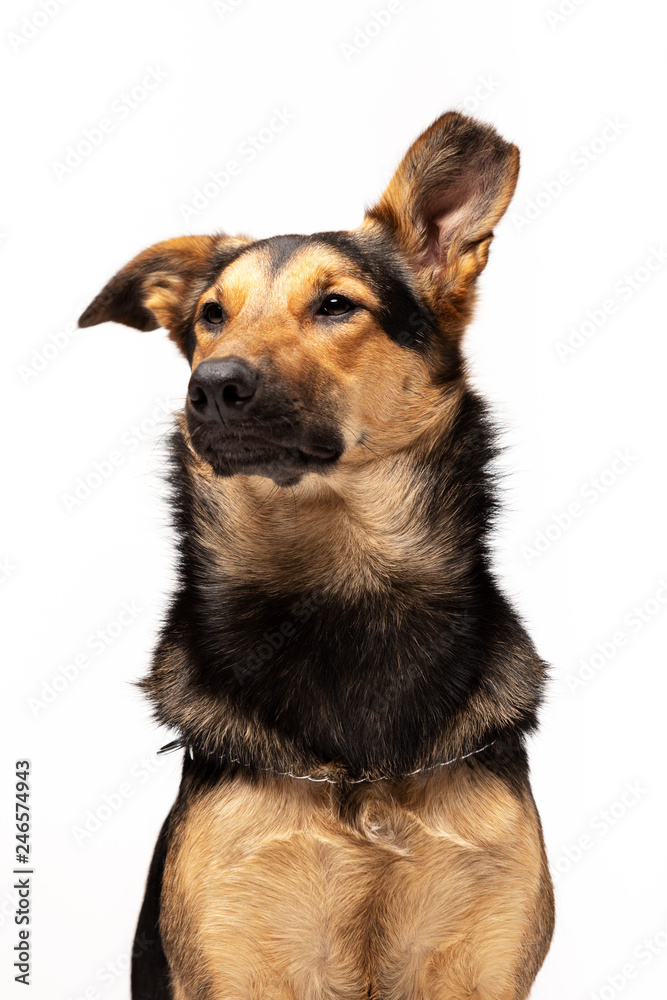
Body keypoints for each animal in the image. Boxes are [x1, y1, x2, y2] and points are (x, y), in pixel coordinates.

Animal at [81, 111, 556, 1000]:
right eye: (210, 316)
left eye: (336, 305)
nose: (212, 387)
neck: (340, 586)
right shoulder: (236, 951)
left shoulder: (480, 958)